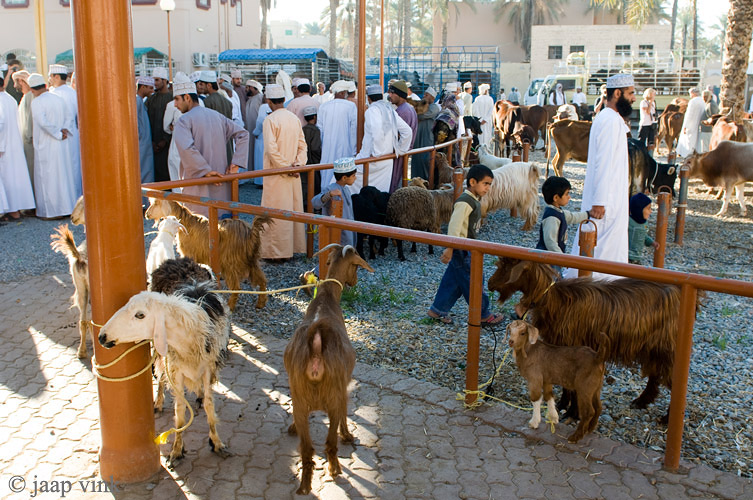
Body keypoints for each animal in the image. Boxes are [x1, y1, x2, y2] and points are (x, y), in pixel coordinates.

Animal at [98, 282, 231, 464]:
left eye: (140, 315)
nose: (102, 336)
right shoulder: (176, 370)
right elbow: (180, 411)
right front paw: (177, 450)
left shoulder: (208, 369)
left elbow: (209, 405)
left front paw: (217, 443)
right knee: (161, 379)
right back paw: (158, 403)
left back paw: (198, 394)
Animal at [284, 243, 374, 496]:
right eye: (357, 266)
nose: (355, 281)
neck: (326, 300)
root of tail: (316, 344)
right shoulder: (343, 387)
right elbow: (345, 412)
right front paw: (348, 434)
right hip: (332, 398)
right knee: (330, 444)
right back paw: (335, 470)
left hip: (301, 398)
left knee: (307, 450)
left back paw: (304, 486)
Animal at [488, 258, 704, 422]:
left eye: (506, 267)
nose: (490, 284)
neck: (553, 299)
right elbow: (565, 382)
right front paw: (563, 405)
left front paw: (573, 413)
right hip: (652, 348)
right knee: (655, 374)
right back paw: (641, 401)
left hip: (667, 347)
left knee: (674, 380)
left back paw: (667, 418)